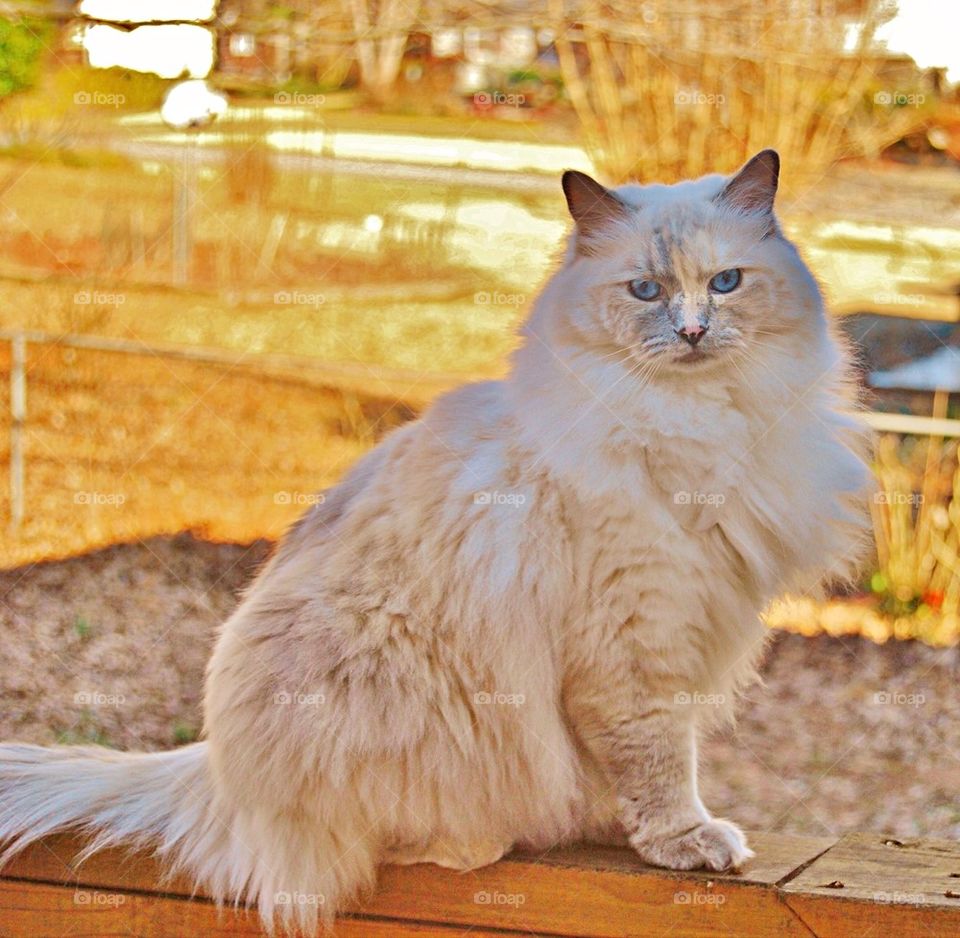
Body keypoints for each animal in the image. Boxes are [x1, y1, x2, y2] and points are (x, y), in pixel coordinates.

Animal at [0, 150, 872, 932]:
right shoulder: (633, 639)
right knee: (370, 852)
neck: (699, 423)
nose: (692, 332)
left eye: (726, 283)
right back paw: (478, 843)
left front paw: (621, 827)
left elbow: (631, 765)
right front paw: (682, 841)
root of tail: (213, 768)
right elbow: (656, 758)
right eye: (646, 290)